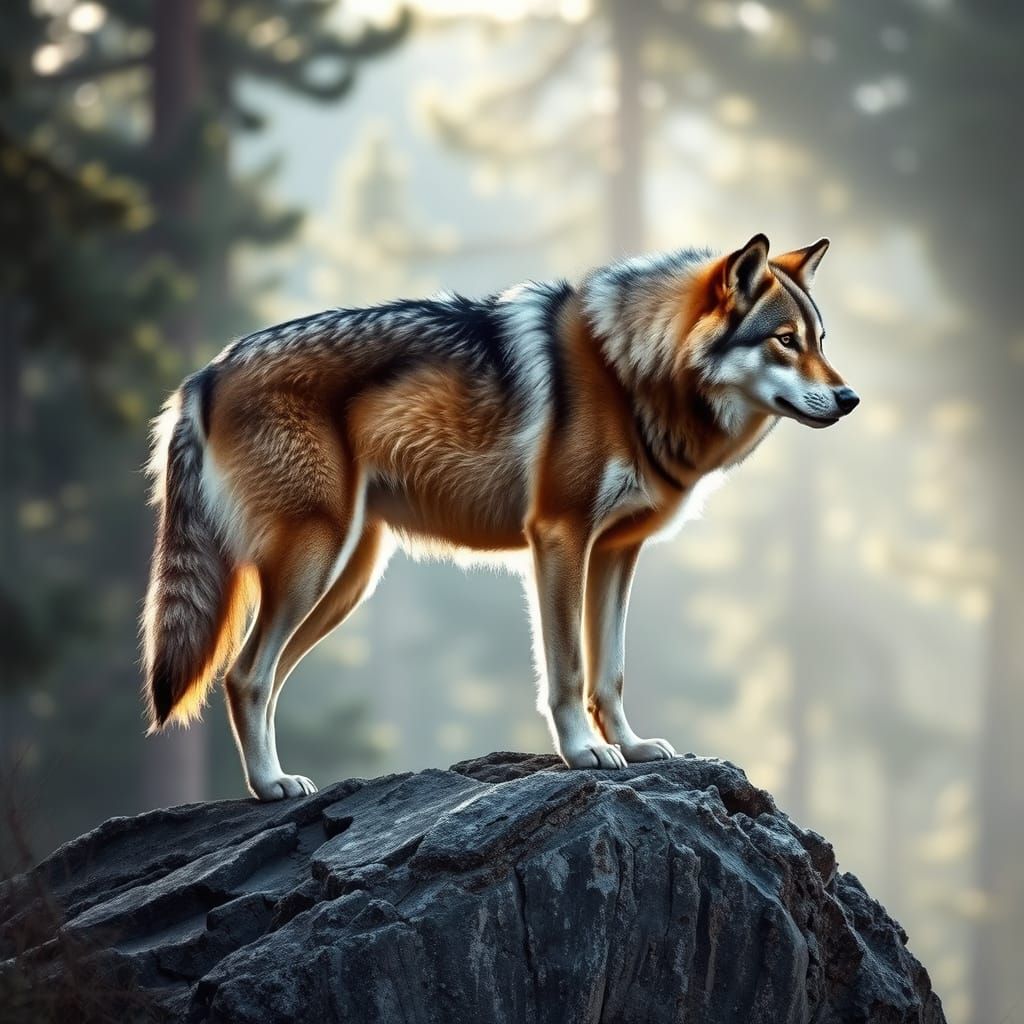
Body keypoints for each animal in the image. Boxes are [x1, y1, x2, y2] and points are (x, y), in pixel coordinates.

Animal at [142, 234, 858, 800]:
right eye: (785, 341)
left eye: (821, 341)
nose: (851, 398)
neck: (630, 372)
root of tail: (202, 375)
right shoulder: (560, 538)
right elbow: (568, 669)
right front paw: (584, 754)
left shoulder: (617, 553)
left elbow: (611, 670)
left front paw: (631, 746)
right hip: (315, 562)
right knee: (244, 674)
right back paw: (270, 786)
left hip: (344, 580)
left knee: (262, 678)